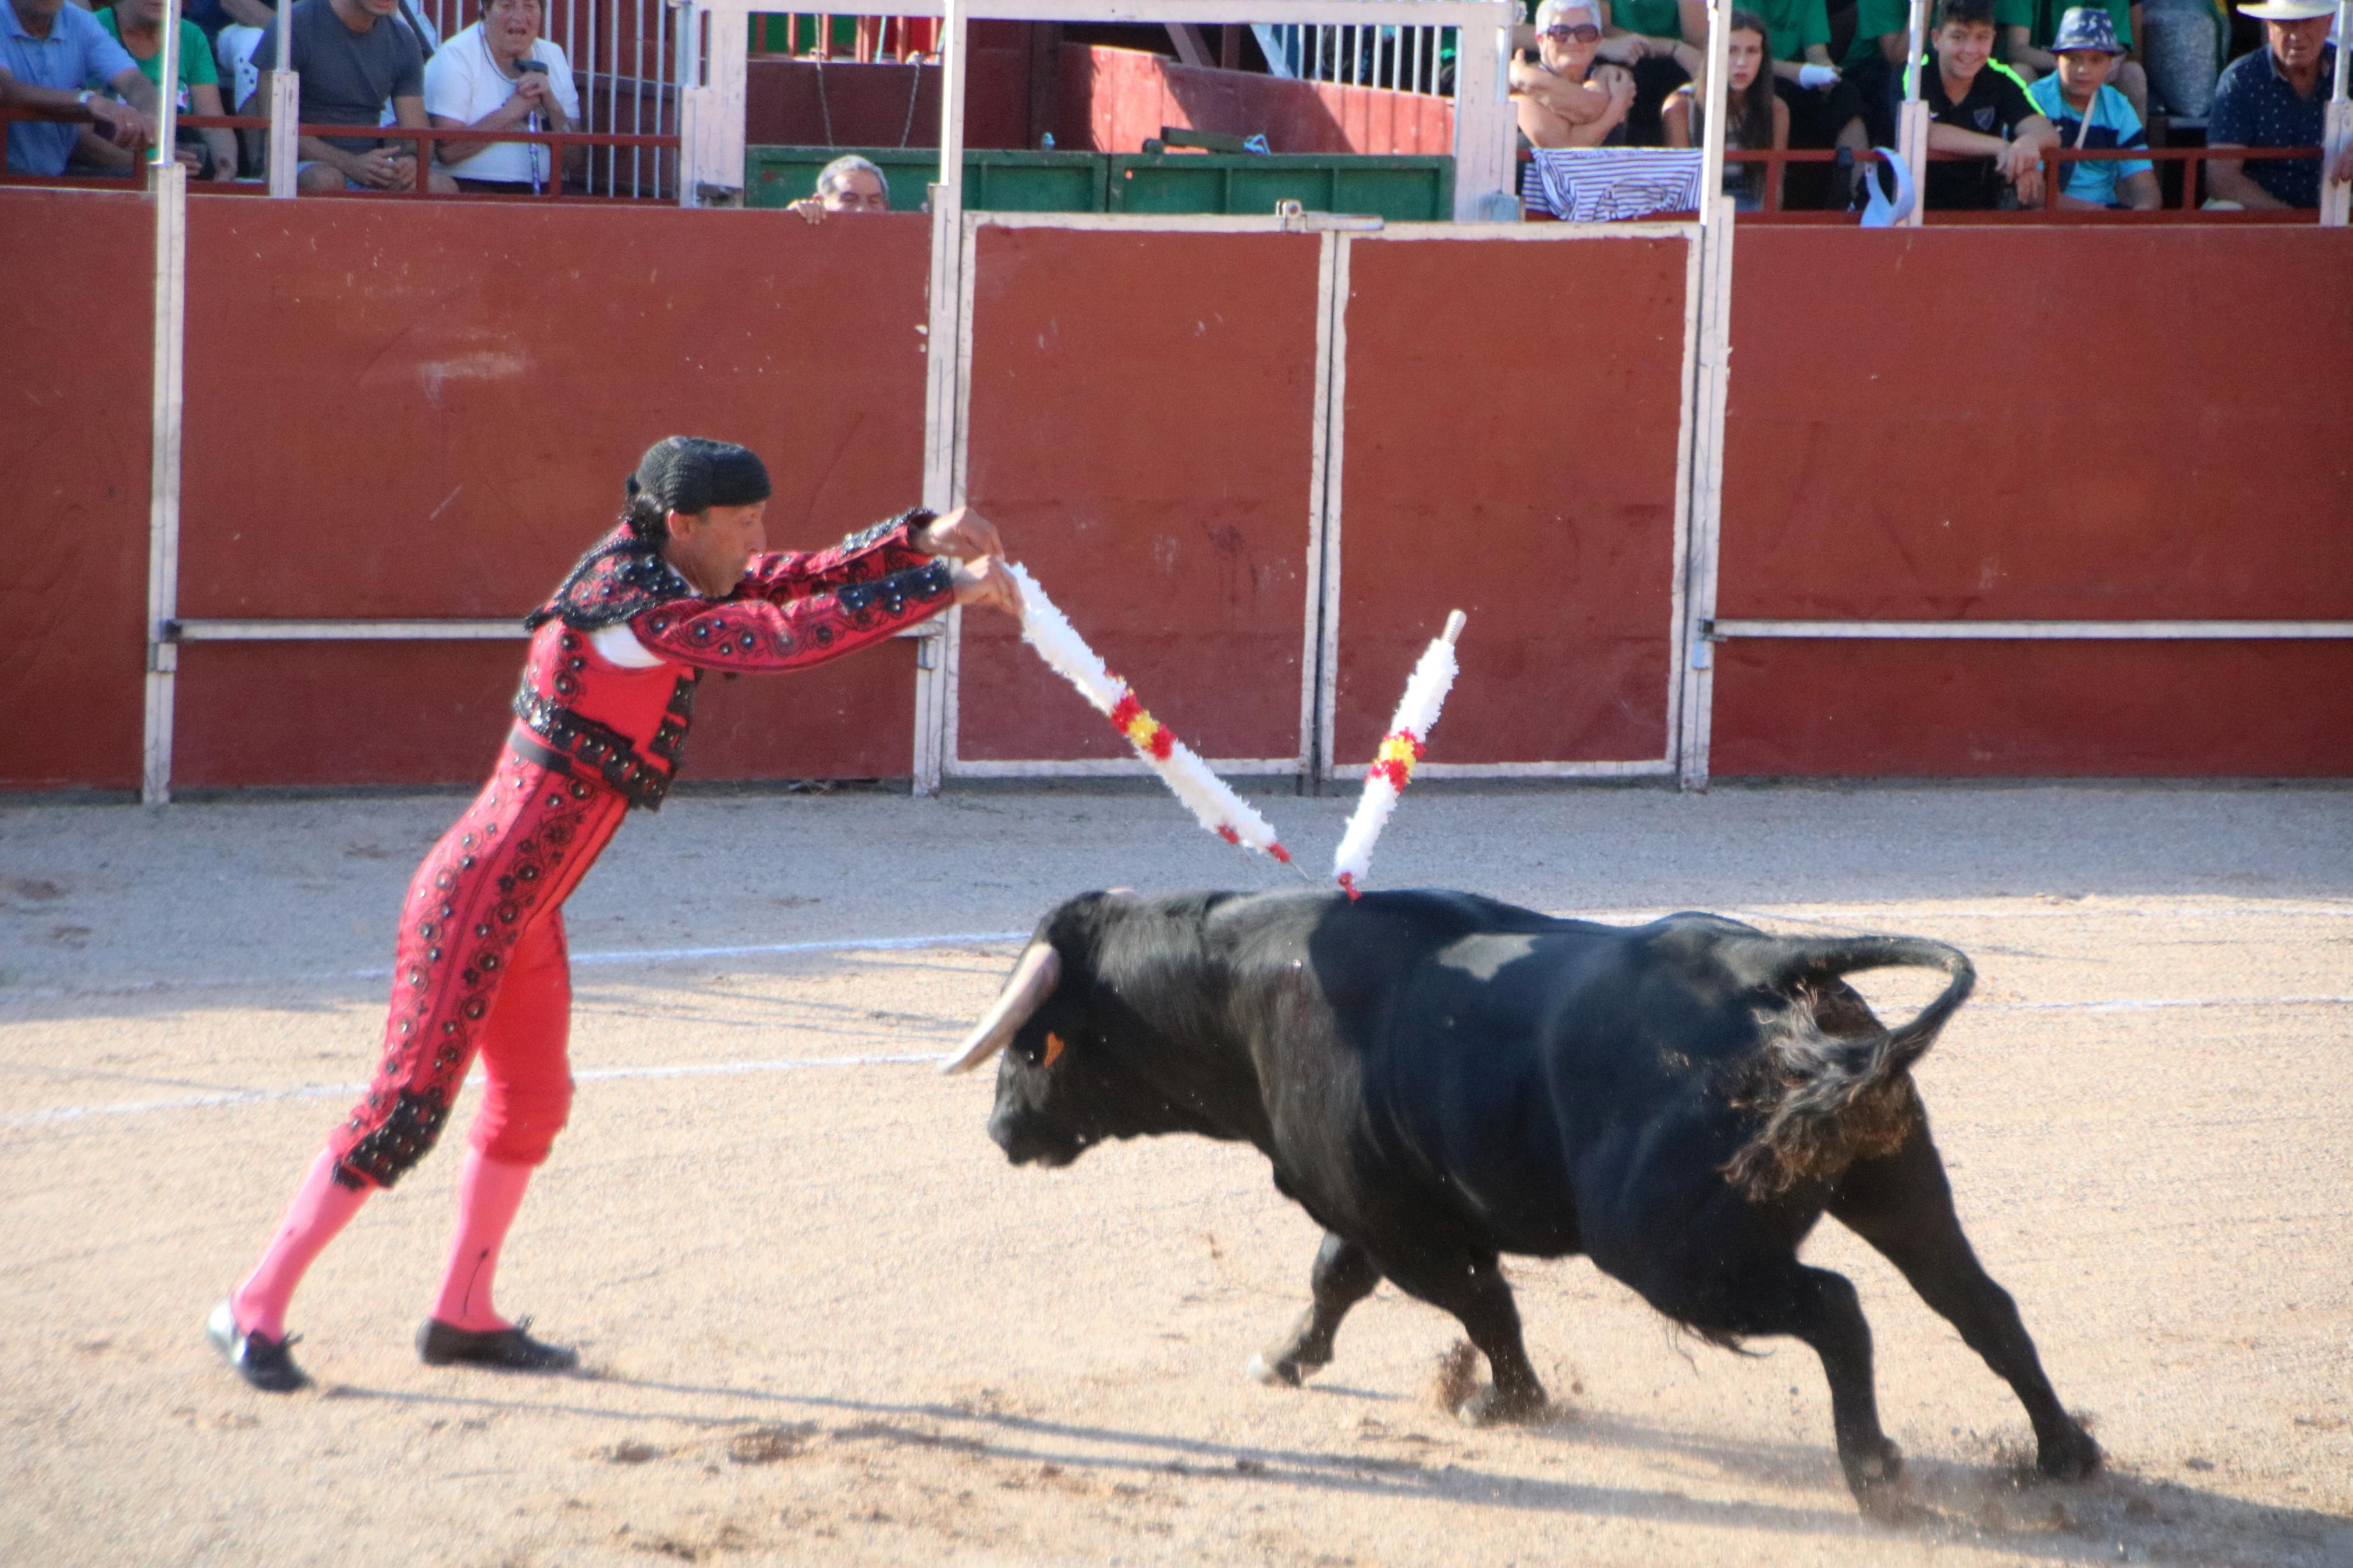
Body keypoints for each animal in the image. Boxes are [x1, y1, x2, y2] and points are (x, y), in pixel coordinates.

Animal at [936, 888, 2099, 1514]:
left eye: (1032, 1047)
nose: (997, 1133)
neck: (1241, 991)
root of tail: (1770, 957)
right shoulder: (1373, 1208)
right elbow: (1336, 1277)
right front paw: (1285, 1358)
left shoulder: (1403, 1224)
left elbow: (1476, 1302)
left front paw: (1510, 1401)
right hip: (1896, 1182)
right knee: (1976, 1301)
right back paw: (2063, 1453)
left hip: (1671, 1252)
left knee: (1836, 1308)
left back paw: (1874, 1474)